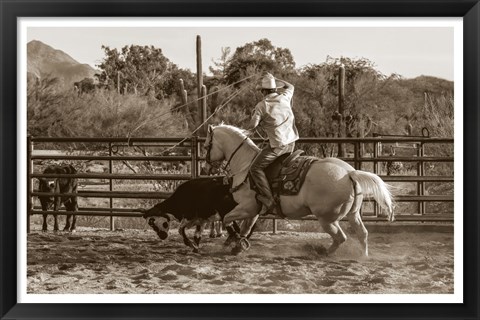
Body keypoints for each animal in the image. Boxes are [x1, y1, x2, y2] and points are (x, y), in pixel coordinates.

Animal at [202, 124, 394, 256]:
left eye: (206, 146)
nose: (205, 168)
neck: (246, 165)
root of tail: (349, 173)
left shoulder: (247, 207)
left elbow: (227, 219)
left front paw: (233, 240)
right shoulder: (254, 210)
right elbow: (245, 228)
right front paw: (238, 246)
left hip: (327, 219)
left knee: (340, 237)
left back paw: (322, 252)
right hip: (353, 215)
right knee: (362, 234)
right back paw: (363, 256)